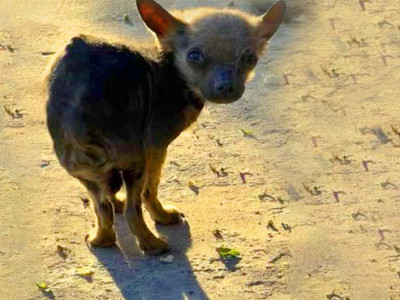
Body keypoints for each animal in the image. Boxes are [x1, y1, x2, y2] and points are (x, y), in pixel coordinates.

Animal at [45, 0, 286, 255]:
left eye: (250, 58)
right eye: (194, 56)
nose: (227, 87)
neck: (172, 71)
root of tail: (77, 122)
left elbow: (112, 197)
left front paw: (118, 203)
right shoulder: (156, 148)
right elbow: (151, 189)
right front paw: (161, 216)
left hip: (85, 171)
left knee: (102, 207)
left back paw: (102, 238)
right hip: (135, 164)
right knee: (133, 210)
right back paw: (154, 244)